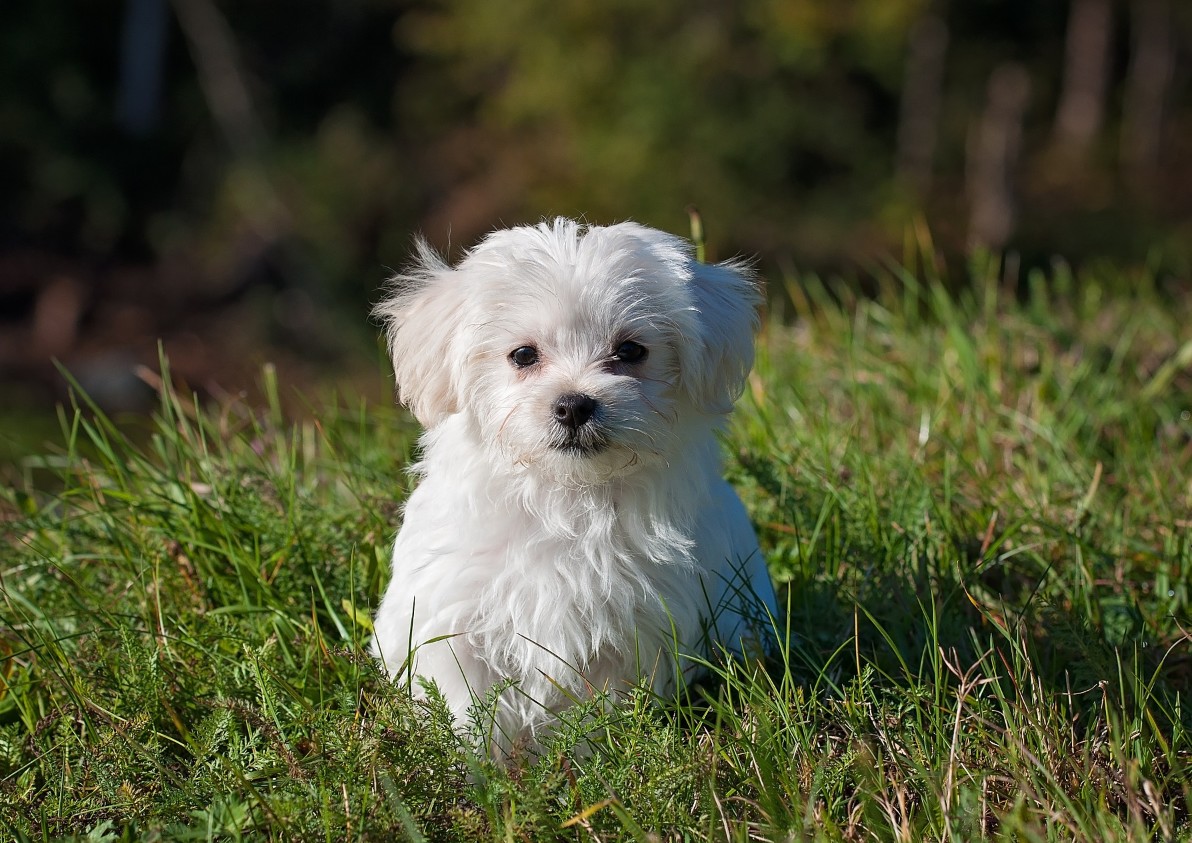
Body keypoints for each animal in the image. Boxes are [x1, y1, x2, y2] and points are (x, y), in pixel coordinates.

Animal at [374, 218, 781, 753]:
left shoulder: (631, 632)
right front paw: (474, 768)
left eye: (630, 351)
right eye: (523, 355)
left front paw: (590, 760)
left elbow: (598, 713)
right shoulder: (453, 621)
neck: (568, 497)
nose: (573, 405)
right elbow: (466, 710)